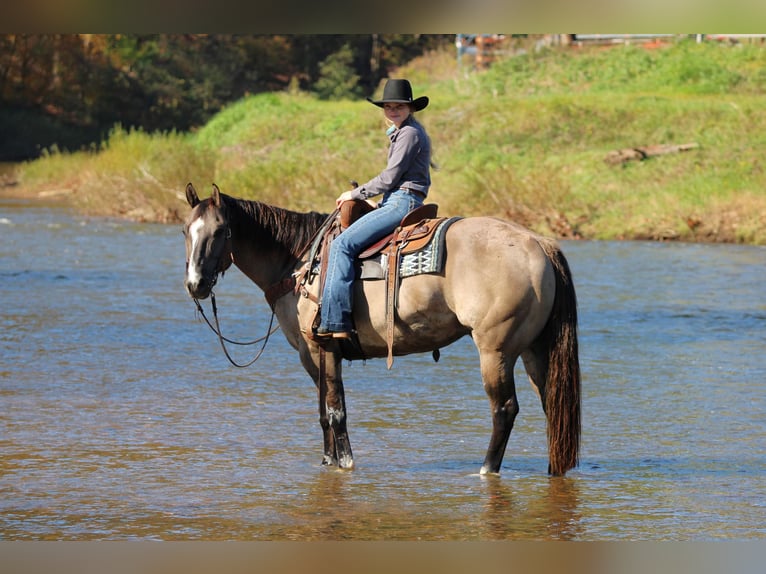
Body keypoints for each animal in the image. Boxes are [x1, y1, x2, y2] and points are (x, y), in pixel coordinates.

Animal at [182, 183, 581, 476]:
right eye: (186, 230)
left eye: (221, 230)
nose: (195, 284)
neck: (298, 261)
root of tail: (539, 244)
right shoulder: (311, 354)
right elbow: (323, 412)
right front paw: (327, 461)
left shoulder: (322, 346)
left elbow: (335, 410)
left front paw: (345, 463)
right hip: (533, 350)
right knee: (552, 405)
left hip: (496, 350)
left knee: (505, 409)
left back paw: (486, 470)